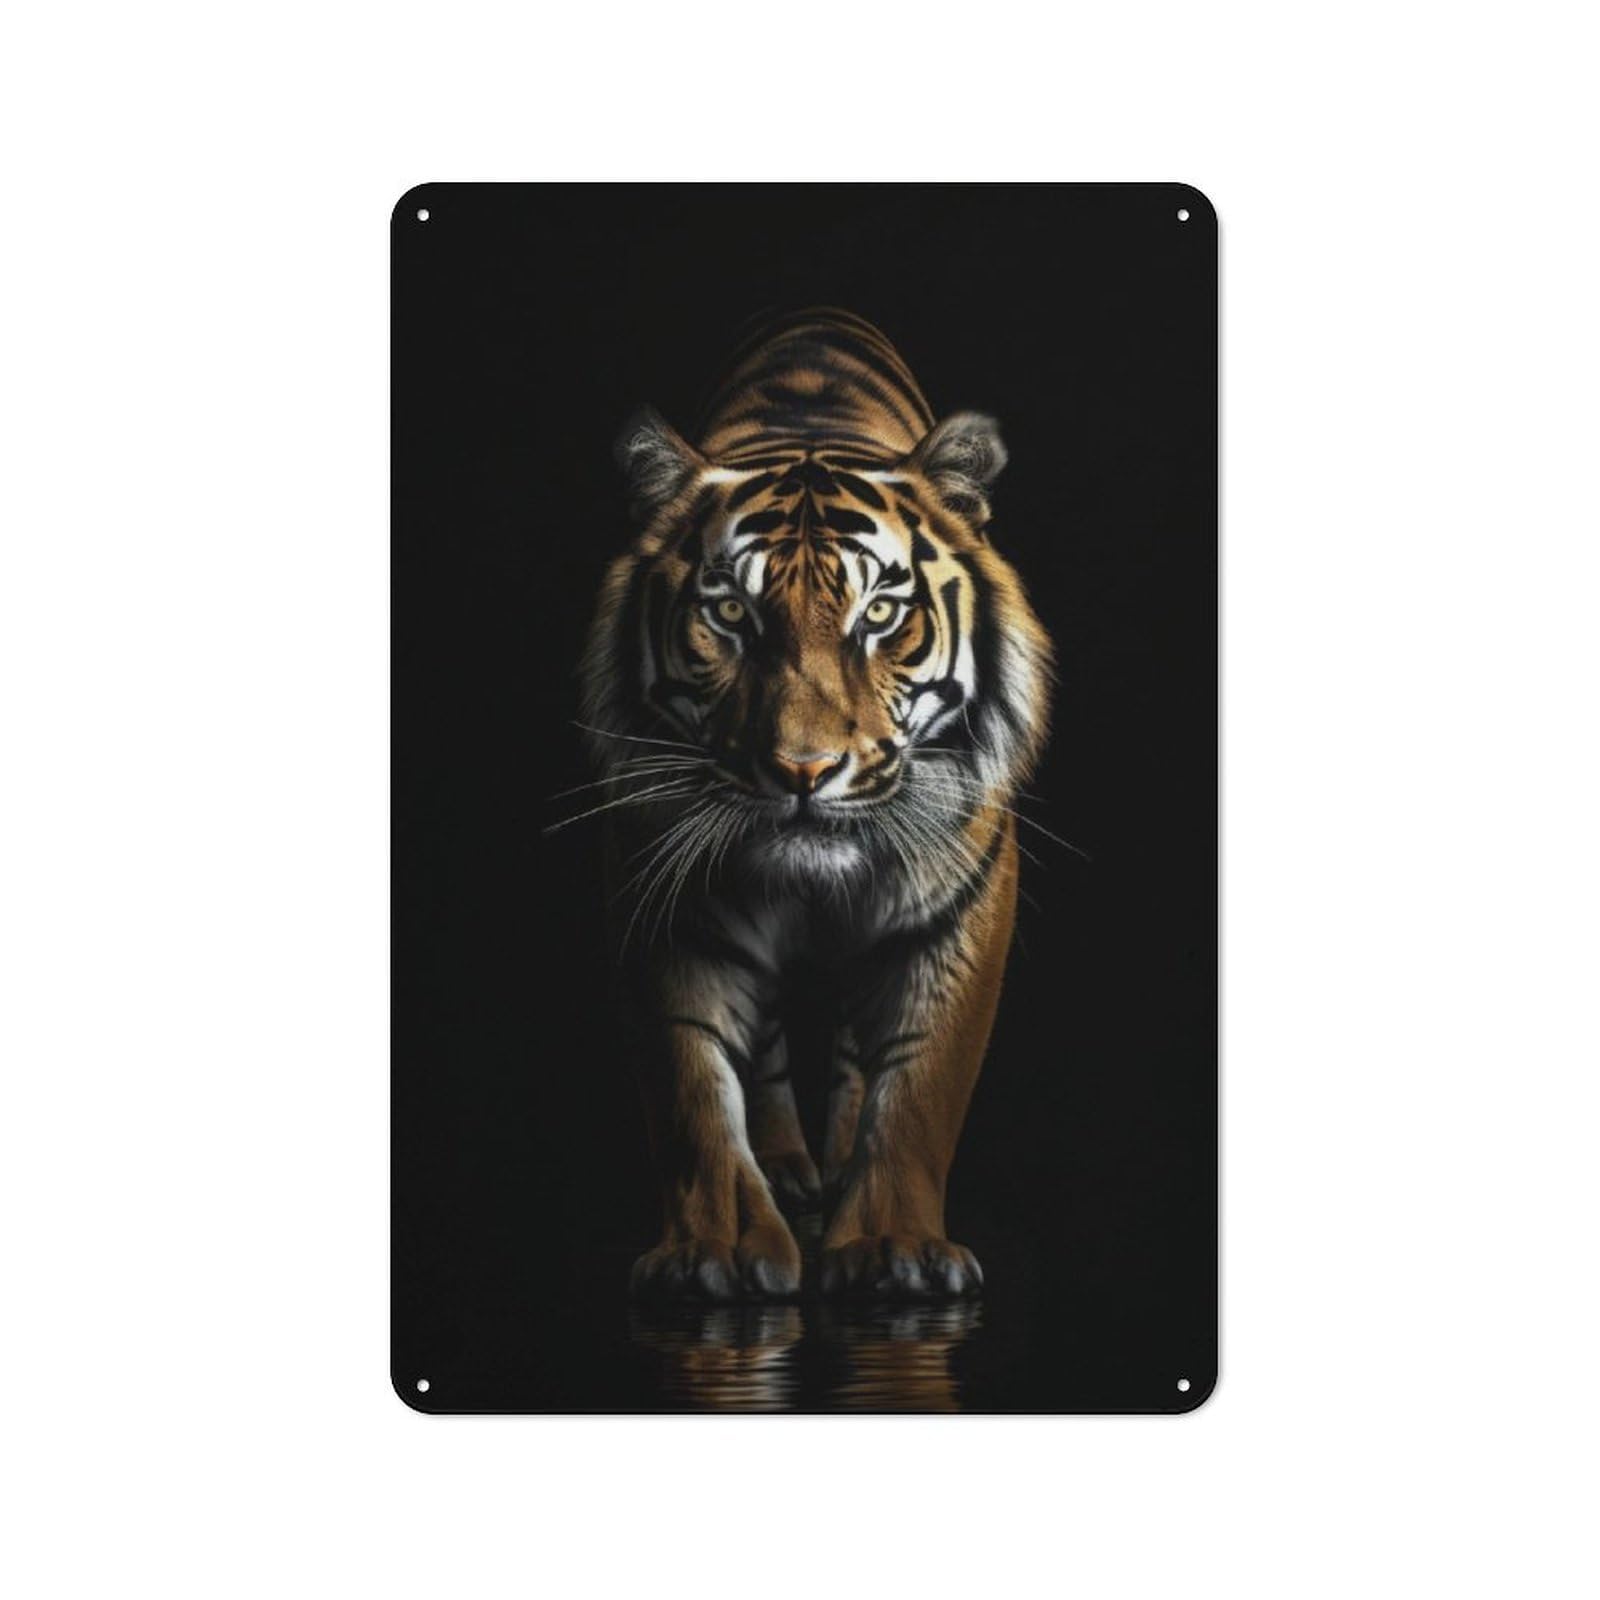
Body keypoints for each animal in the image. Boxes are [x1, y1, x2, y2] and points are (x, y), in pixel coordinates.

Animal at [577, 308, 1053, 1300]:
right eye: (728, 615)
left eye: (879, 616)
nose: (803, 770)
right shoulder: (660, 893)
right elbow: (692, 1085)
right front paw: (715, 1251)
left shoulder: (963, 905)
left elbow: (919, 1083)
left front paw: (893, 1248)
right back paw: (794, 1171)